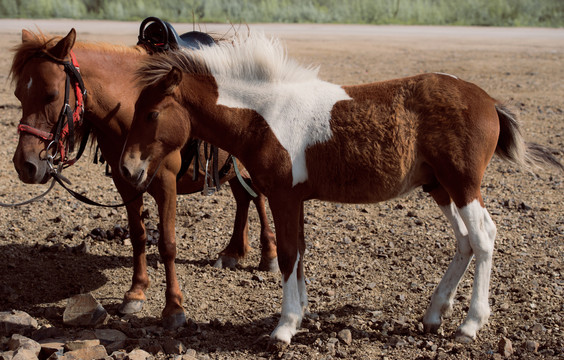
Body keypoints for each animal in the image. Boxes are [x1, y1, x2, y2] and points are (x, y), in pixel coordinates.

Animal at [9, 29, 278, 330]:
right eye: (19, 94)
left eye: (51, 94)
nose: (25, 165)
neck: (128, 108)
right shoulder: (125, 181)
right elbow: (138, 235)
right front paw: (135, 293)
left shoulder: (166, 184)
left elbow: (168, 244)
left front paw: (173, 308)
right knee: (244, 199)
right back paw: (232, 252)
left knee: (258, 198)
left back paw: (269, 255)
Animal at [120, 34, 564, 346]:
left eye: (152, 113)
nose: (127, 168)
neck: (266, 116)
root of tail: (488, 101)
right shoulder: (294, 198)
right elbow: (298, 253)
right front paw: (300, 314)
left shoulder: (283, 195)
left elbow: (288, 255)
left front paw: (284, 329)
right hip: (439, 187)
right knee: (465, 241)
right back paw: (434, 314)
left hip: (463, 184)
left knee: (484, 236)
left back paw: (470, 325)